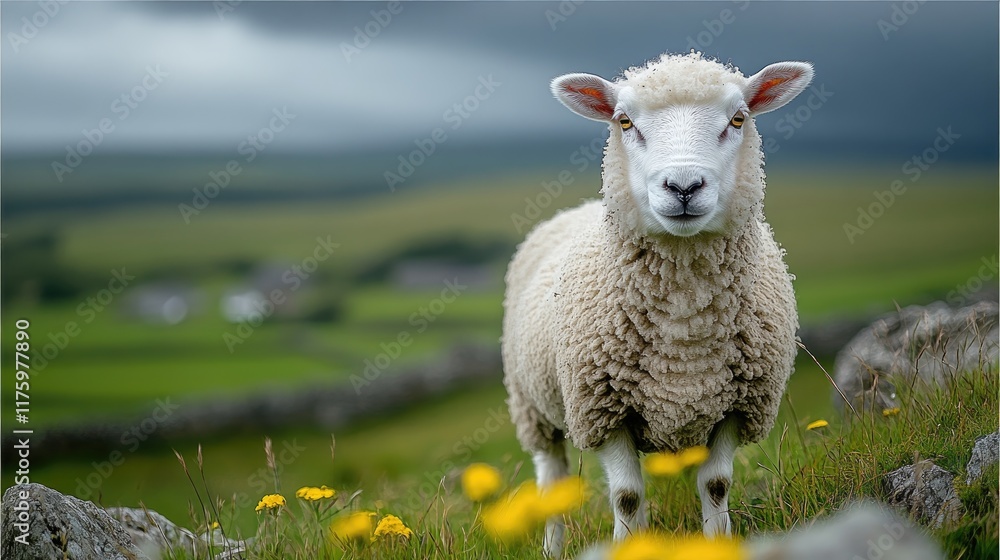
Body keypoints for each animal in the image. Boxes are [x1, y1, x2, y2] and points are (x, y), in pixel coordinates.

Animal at [501, 51, 812, 557]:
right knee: (552, 481)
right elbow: (627, 496)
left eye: (738, 118)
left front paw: (717, 540)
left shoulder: (737, 405)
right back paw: (552, 547)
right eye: (624, 121)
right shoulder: (604, 410)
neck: (684, 323)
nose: (683, 186)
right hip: (533, 406)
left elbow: (716, 486)